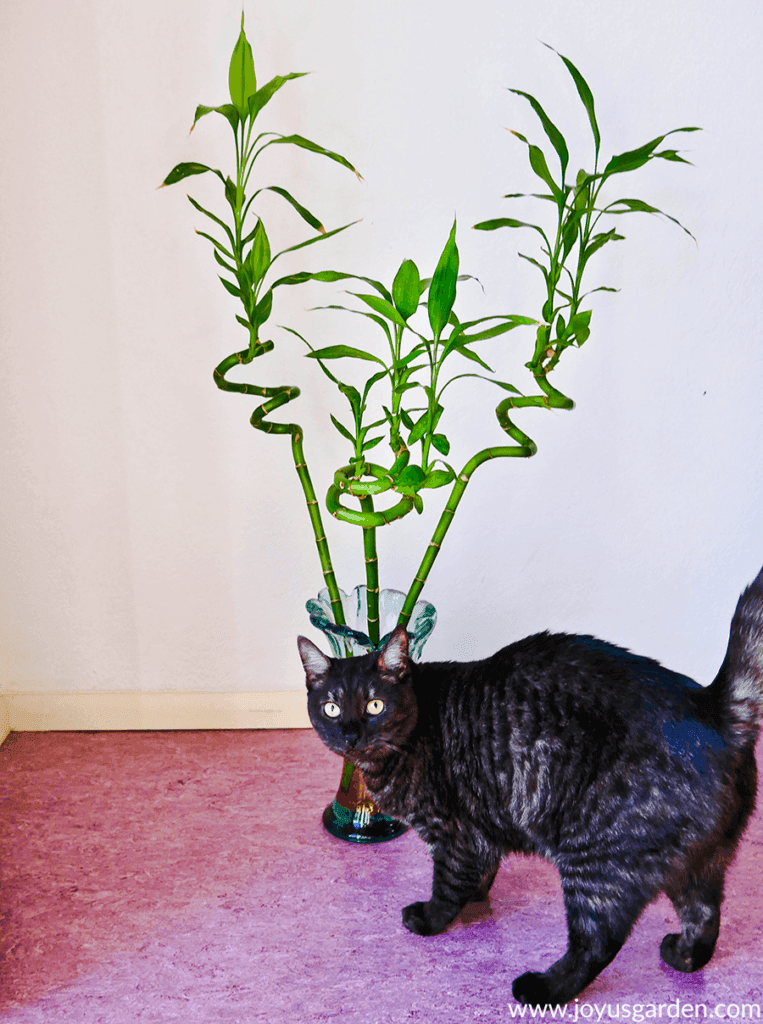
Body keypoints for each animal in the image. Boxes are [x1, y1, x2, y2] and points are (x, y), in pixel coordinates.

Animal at [297, 569, 761, 1007]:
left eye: (374, 704)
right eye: (331, 707)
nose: (351, 734)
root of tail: (716, 710)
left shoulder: (452, 831)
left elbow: (448, 882)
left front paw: (431, 920)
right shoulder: (479, 828)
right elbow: (481, 869)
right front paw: (476, 897)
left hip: (596, 862)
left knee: (597, 942)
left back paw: (543, 988)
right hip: (699, 862)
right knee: (704, 913)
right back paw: (684, 956)